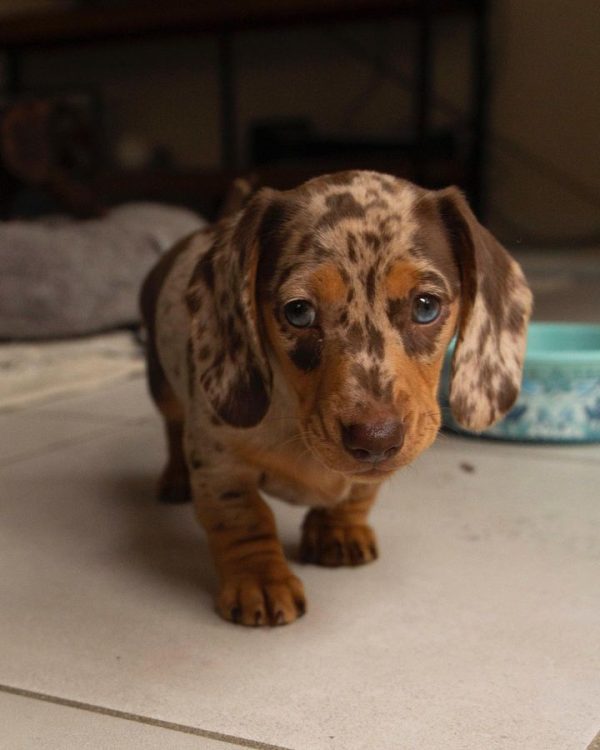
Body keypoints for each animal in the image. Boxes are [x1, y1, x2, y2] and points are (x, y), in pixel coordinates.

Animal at [139, 172, 528, 628]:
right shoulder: (218, 459)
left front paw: (339, 530)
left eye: (426, 306)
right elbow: (244, 517)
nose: (376, 439)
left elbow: (360, 491)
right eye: (299, 312)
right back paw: (174, 478)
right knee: (172, 425)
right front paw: (261, 580)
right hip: (163, 385)